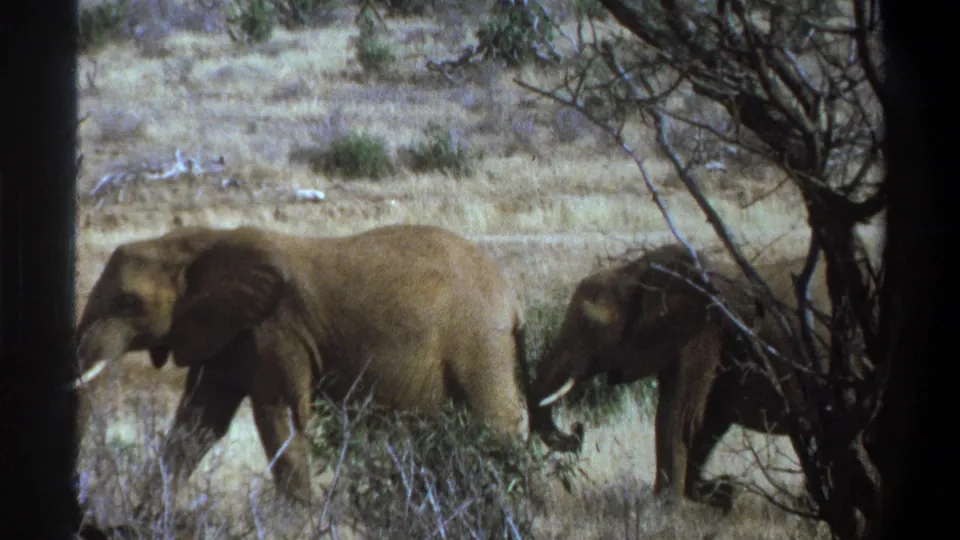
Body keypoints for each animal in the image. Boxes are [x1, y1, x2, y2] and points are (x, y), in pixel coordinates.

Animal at [73, 223, 580, 510]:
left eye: (129, 302)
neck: (194, 243)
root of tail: (512, 301)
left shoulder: (276, 329)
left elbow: (279, 413)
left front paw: (301, 518)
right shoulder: (229, 334)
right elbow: (199, 423)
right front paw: (144, 517)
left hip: (479, 343)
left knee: (495, 425)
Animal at [528, 242, 830, 512]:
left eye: (590, 327)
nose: (577, 429)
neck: (635, 271)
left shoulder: (703, 332)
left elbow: (680, 416)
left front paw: (665, 512)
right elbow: (706, 421)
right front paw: (720, 493)